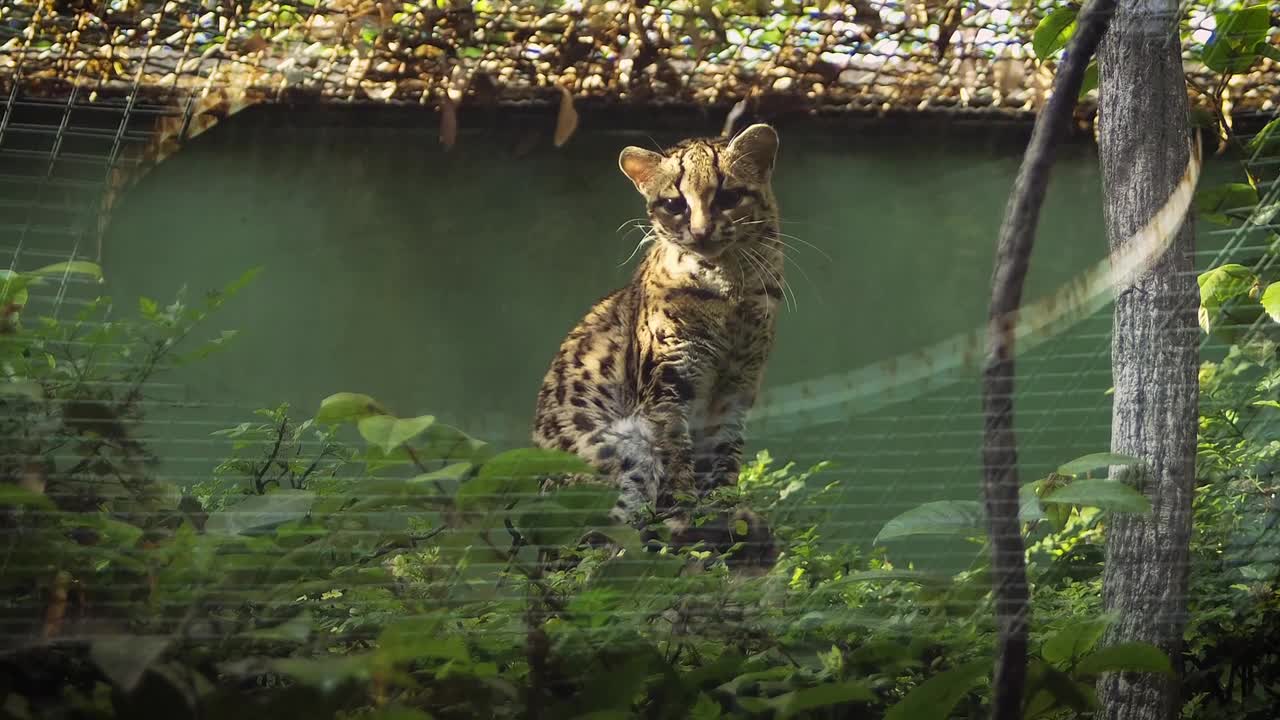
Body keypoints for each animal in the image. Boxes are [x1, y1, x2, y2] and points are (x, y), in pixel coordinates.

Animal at [532, 122, 788, 543]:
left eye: (729, 197)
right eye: (674, 204)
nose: (701, 232)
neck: (727, 288)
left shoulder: (737, 390)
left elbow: (723, 461)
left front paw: (723, 514)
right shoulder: (665, 389)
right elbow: (676, 458)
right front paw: (685, 518)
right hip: (622, 450)